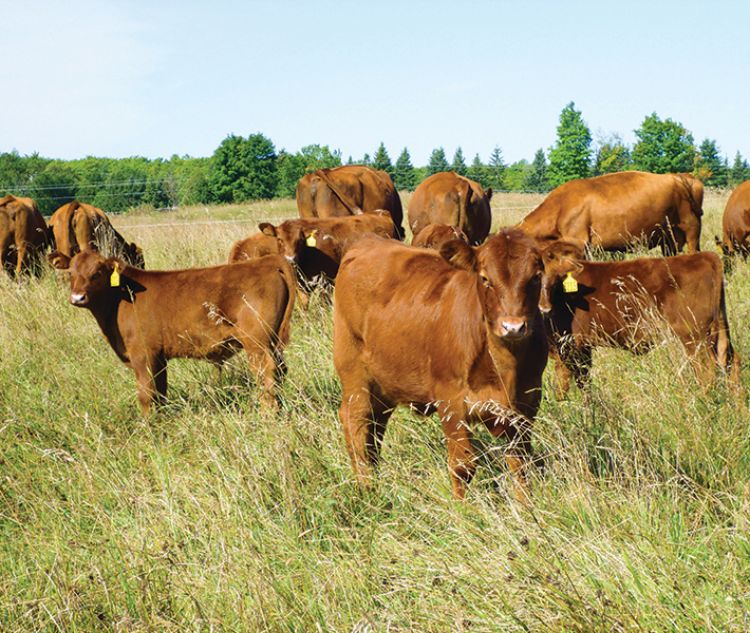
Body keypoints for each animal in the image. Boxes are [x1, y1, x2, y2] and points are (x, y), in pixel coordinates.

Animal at [48, 249, 296, 414]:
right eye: (70, 272)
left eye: (97, 273)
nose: (77, 297)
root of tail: (268, 261)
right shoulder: (159, 358)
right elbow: (161, 392)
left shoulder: (143, 355)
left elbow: (146, 395)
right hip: (271, 342)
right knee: (280, 371)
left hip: (257, 342)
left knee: (267, 374)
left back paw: (267, 414)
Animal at [333, 230, 548, 501]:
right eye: (485, 278)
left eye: (535, 277)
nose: (513, 327)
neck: (505, 368)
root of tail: (367, 242)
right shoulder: (451, 402)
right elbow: (462, 466)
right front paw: (462, 508)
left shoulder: (526, 406)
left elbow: (520, 463)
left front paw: (526, 505)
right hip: (354, 374)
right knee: (357, 423)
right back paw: (367, 489)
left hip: (383, 385)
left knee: (375, 426)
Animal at [539, 240, 740, 397]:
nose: (544, 307)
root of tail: (706, 257)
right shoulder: (579, 348)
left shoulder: (569, 347)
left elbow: (565, 385)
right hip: (719, 328)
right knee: (731, 362)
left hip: (694, 336)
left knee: (706, 371)